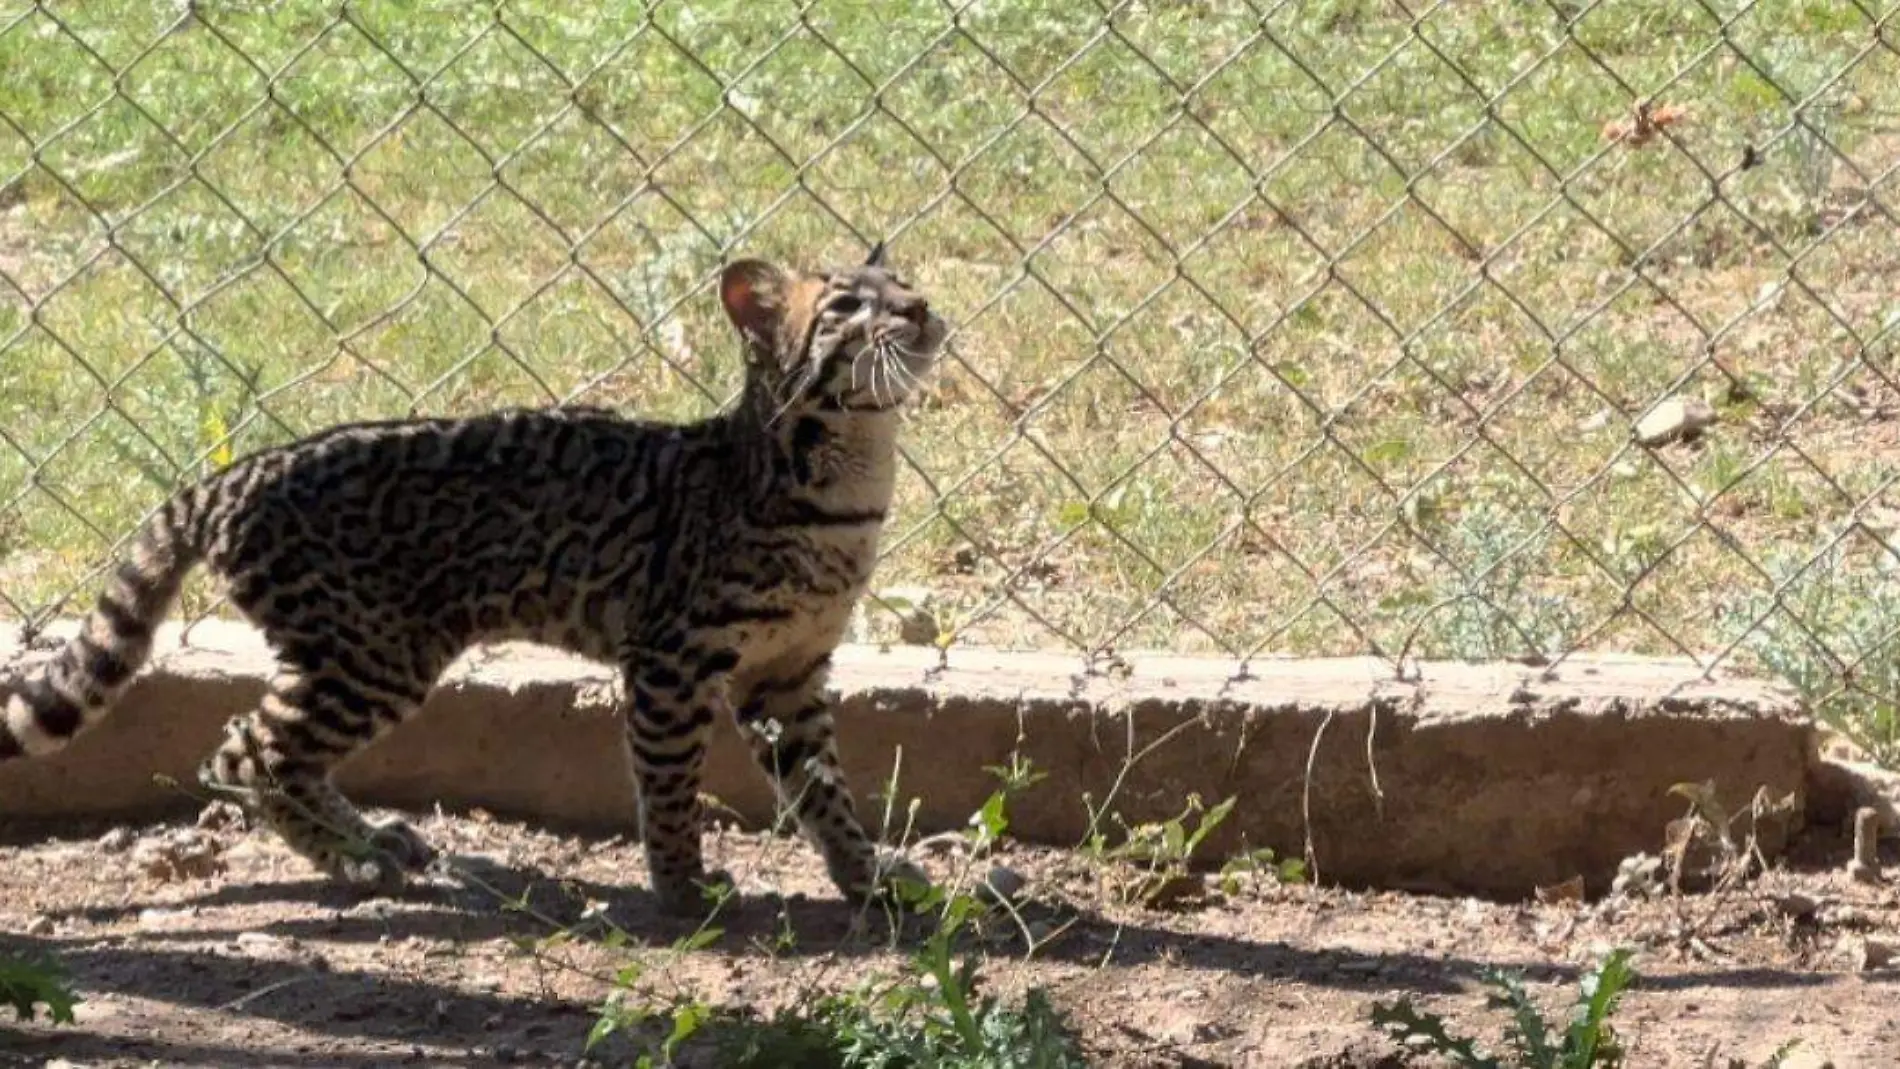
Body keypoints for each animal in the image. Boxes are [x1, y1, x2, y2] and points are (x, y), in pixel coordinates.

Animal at [0, 244, 946, 911]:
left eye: (902, 283)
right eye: (848, 305)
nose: (923, 307)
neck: (851, 479)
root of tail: (234, 473)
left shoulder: (788, 674)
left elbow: (826, 791)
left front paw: (866, 877)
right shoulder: (671, 662)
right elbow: (672, 784)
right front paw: (682, 887)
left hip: (357, 656)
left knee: (251, 744)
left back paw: (371, 841)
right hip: (374, 654)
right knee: (250, 748)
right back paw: (352, 856)